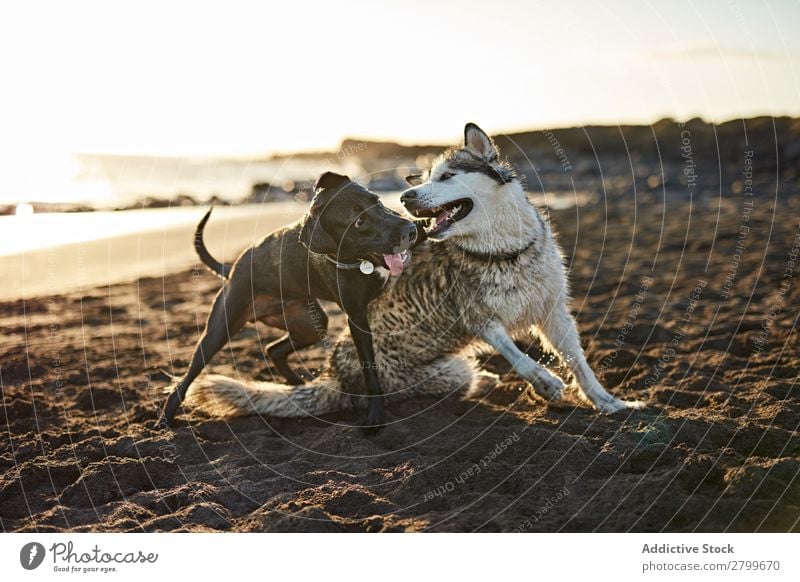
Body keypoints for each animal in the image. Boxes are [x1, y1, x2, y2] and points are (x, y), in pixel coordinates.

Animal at [156, 172, 418, 428]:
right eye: (359, 223)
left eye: (377, 201)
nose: (410, 231)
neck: (359, 260)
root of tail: (232, 270)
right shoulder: (357, 318)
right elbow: (368, 368)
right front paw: (375, 415)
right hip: (220, 329)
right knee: (188, 376)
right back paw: (165, 418)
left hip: (309, 324)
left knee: (273, 350)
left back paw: (296, 385)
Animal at [188, 123, 644, 420]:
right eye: (423, 178)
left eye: (446, 176)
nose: (406, 196)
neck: (505, 251)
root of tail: (336, 378)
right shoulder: (478, 317)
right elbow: (517, 354)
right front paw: (545, 382)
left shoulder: (554, 313)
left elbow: (582, 365)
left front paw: (611, 403)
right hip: (450, 368)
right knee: (461, 381)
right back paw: (486, 383)